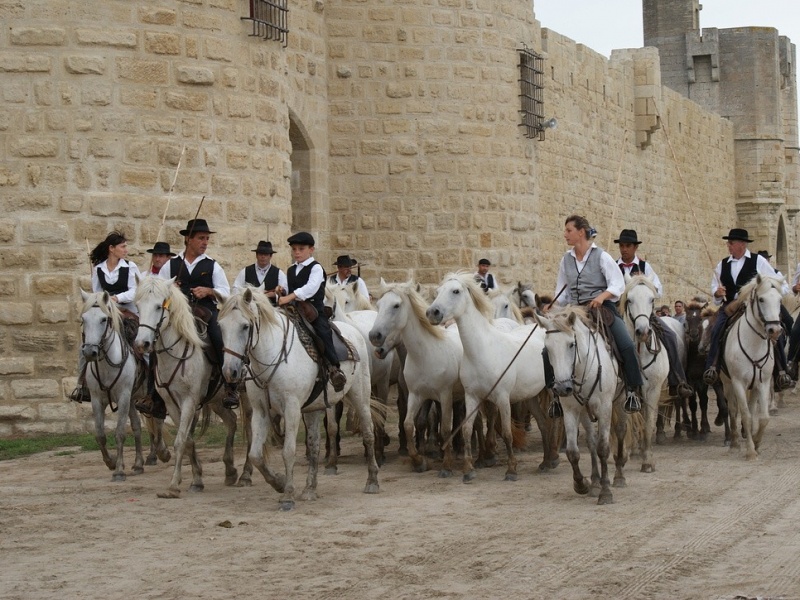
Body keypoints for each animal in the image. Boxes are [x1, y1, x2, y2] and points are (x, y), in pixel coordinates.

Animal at [134, 276, 241, 496]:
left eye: (159, 306)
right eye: (138, 306)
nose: (142, 344)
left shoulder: (189, 401)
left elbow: (181, 440)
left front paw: (173, 485)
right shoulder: (172, 404)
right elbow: (187, 439)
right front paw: (196, 479)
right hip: (217, 400)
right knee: (232, 421)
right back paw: (230, 470)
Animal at [217, 288, 380, 510]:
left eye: (245, 326)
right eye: (221, 326)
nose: (230, 372)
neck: (271, 357)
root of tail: (354, 332)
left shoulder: (292, 408)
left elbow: (288, 451)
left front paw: (287, 495)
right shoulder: (261, 411)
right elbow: (256, 455)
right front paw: (278, 483)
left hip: (360, 396)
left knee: (368, 433)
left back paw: (372, 481)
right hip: (313, 409)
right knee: (315, 445)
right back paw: (310, 489)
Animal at [532, 308, 632, 504]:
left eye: (571, 344)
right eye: (548, 348)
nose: (562, 388)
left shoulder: (605, 407)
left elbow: (603, 447)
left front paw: (605, 492)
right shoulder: (571, 410)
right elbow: (573, 451)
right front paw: (582, 484)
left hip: (620, 401)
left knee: (620, 431)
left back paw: (619, 476)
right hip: (585, 413)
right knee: (591, 442)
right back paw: (594, 483)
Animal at [620, 274, 672, 472]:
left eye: (652, 299)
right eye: (629, 300)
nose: (642, 331)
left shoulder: (653, 390)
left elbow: (649, 422)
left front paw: (648, 459)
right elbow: (627, 422)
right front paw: (624, 453)